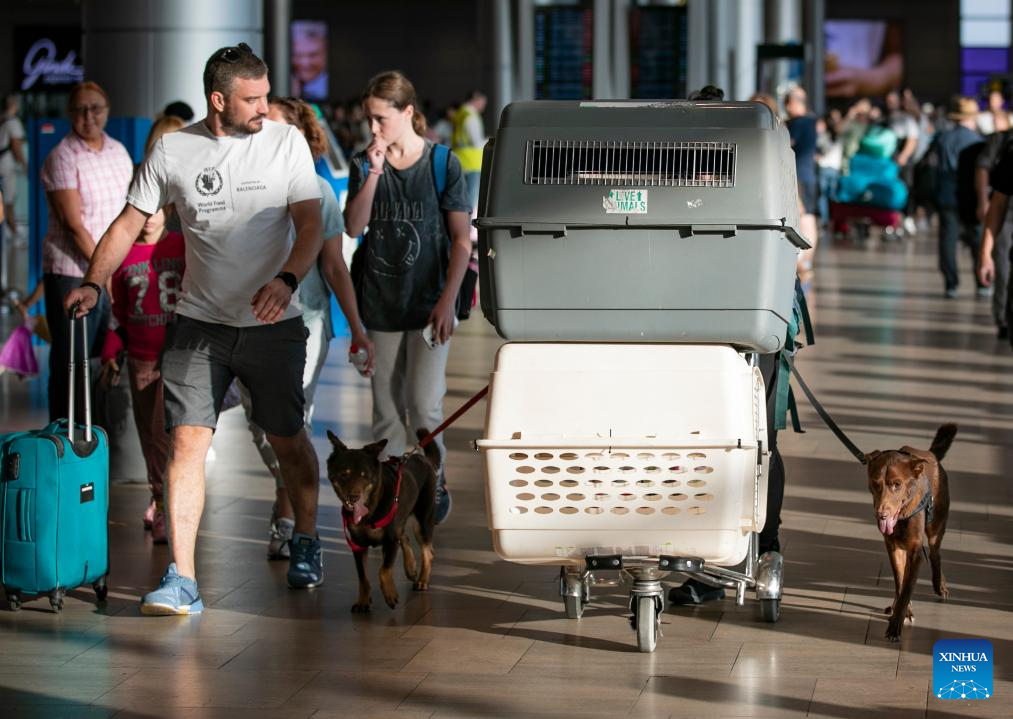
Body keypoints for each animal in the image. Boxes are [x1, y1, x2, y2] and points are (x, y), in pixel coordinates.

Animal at [326, 429, 439, 613]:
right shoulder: (358, 545)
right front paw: (363, 602)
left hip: (422, 520)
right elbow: (363, 577)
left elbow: (383, 570)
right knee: (405, 536)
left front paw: (390, 594)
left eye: (364, 476)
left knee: (427, 551)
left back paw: (422, 580)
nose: (354, 497)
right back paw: (411, 567)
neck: (370, 508)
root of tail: (424, 459)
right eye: (344, 474)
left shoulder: (390, 540)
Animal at [865, 423, 956, 642]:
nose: (881, 514)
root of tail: (931, 454)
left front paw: (895, 626)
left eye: (897, 484)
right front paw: (902, 611)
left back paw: (940, 585)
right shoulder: (893, 547)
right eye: (875, 483)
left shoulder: (915, 551)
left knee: (935, 552)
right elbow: (900, 581)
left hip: (936, 525)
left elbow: (907, 587)